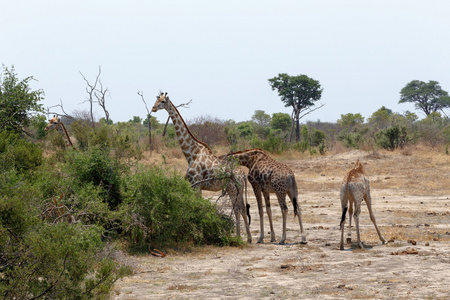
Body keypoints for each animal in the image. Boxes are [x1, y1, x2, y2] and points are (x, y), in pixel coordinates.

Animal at [150, 92, 250, 243]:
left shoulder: (196, 184)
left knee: (238, 209)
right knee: (242, 209)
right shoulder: (194, 185)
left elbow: (197, 207)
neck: (191, 153)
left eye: (162, 102)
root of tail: (242, 175)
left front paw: (199, 236)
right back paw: (246, 238)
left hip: (233, 189)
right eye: (156, 100)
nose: (153, 108)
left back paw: (239, 238)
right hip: (236, 189)